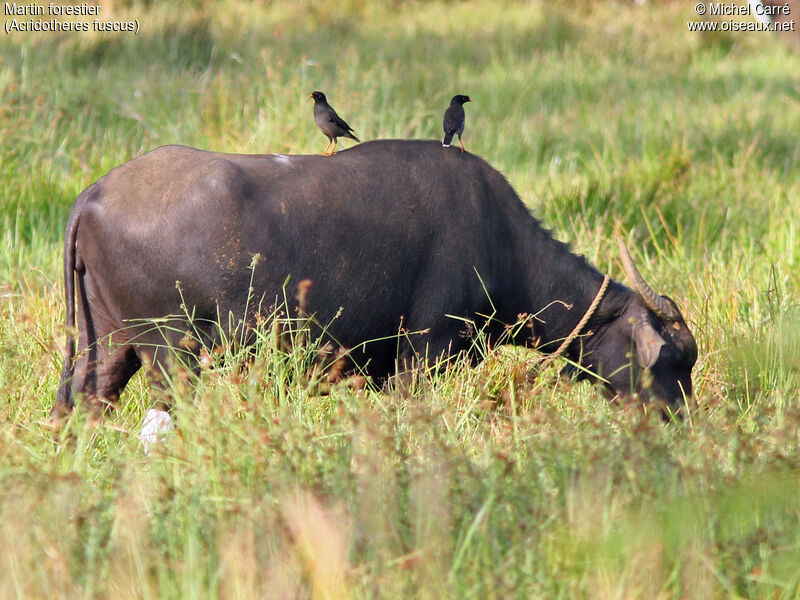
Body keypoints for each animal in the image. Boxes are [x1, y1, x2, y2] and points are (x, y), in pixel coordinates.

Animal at [53, 138, 696, 420]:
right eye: (670, 360)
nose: (677, 417)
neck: (498, 239)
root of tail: (94, 195)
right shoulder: (424, 353)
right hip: (171, 355)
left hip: (104, 345)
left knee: (83, 403)